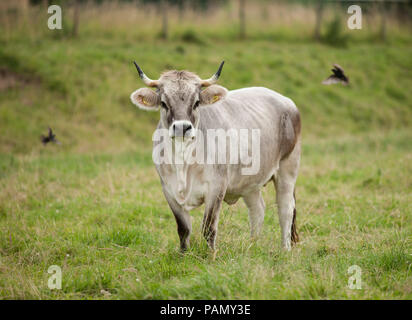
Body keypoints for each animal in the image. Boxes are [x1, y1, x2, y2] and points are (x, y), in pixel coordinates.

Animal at [130, 61, 300, 252]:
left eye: (196, 102)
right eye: (164, 103)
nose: (182, 127)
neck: (183, 161)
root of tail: (285, 100)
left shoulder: (216, 187)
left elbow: (208, 228)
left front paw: (210, 255)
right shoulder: (169, 191)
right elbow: (183, 229)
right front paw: (182, 254)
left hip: (288, 168)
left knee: (286, 210)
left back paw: (285, 250)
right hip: (250, 182)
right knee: (257, 210)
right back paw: (252, 246)